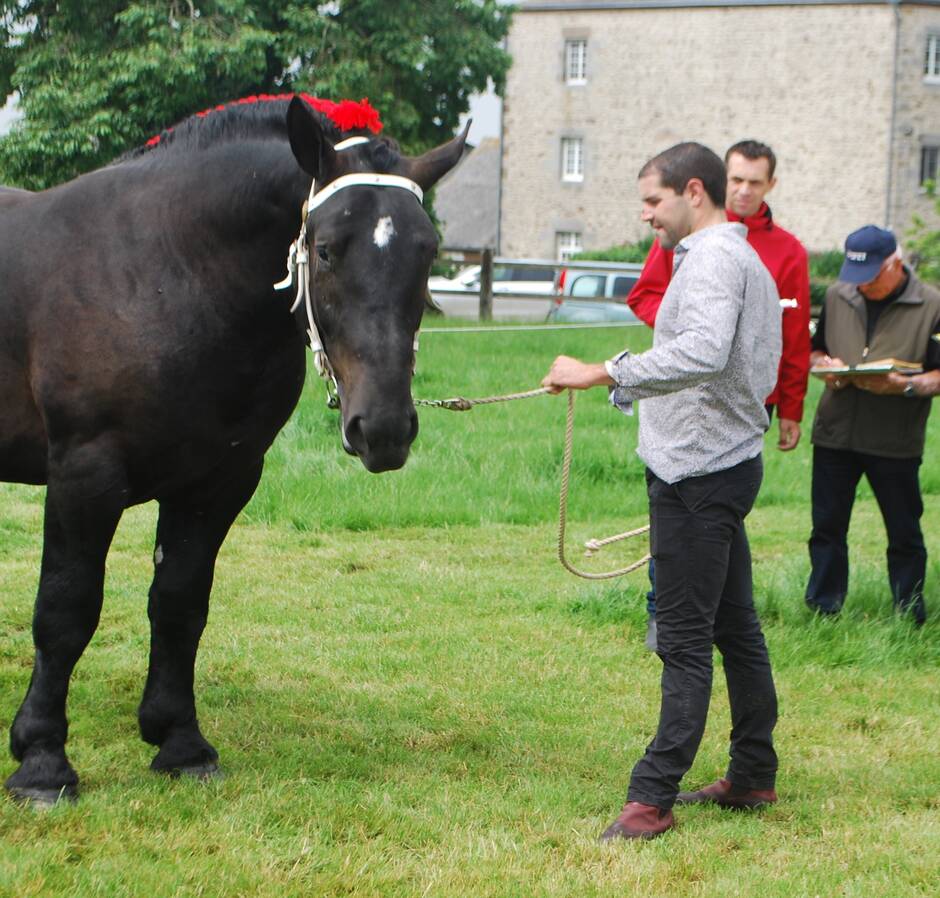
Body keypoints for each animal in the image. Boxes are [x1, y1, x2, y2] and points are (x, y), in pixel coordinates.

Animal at [0, 94, 468, 800]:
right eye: (325, 250)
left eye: (429, 251)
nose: (384, 429)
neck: (160, 273)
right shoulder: (85, 475)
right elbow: (66, 608)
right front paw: (41, 760)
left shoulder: (218, 480)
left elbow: (179, 604)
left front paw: (179, 742)